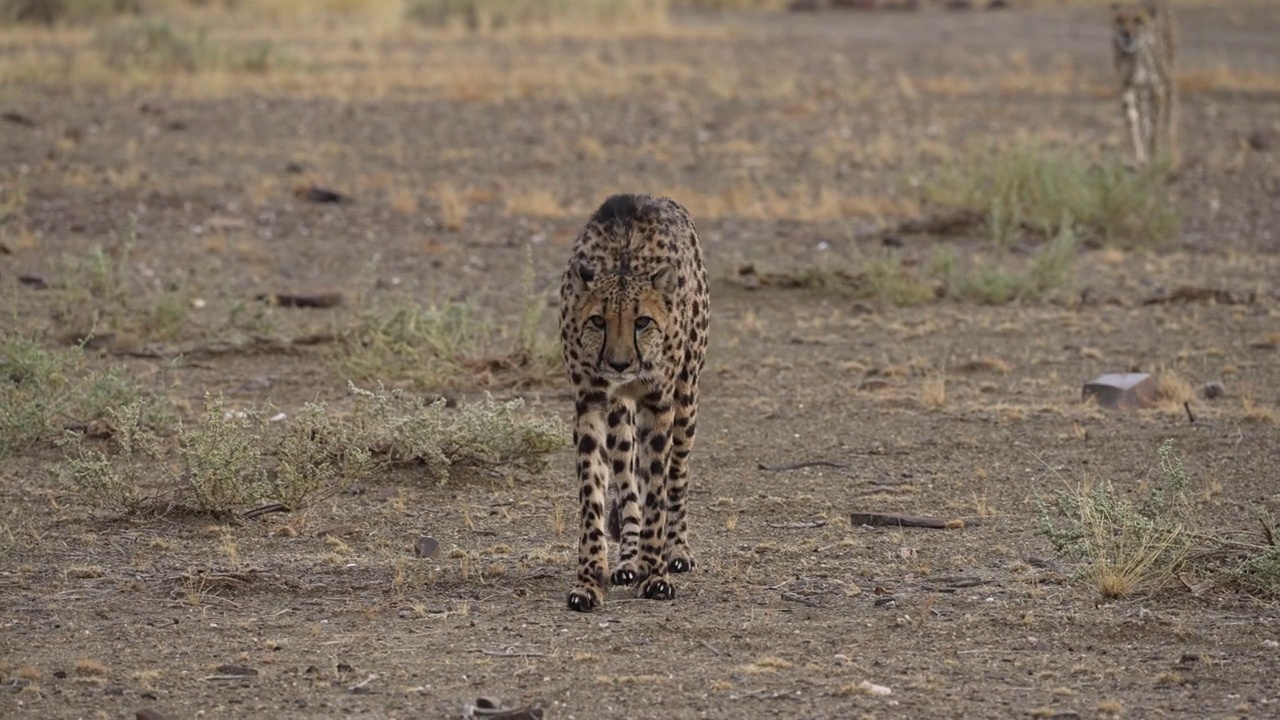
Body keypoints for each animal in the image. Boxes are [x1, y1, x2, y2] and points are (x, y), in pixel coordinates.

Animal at [560, 193, 711, 607]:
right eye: (598, 321)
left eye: (642, 322)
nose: (619, 363)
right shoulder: (591, 402)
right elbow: (593, 493)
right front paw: (589, 580)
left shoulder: (658, 403)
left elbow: (657, 491)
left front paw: (656, 573)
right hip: (619, 415)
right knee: (627, 483)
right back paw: (628, 559)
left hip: (686, 399)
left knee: (677, 475)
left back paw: (675, 551)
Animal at [1111, 1, 1177, 167]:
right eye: (1120, 20)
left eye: (1138, 20)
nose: (1125, 34)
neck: (1137, 55)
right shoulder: (1126, 89)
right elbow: (1132, 124)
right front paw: (1137, 157)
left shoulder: (1157, 89)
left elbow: (1154, 128)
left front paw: (1153, 156)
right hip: (1142, 92)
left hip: (1169, 81)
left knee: (1170, 118)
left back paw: (1172, 155)